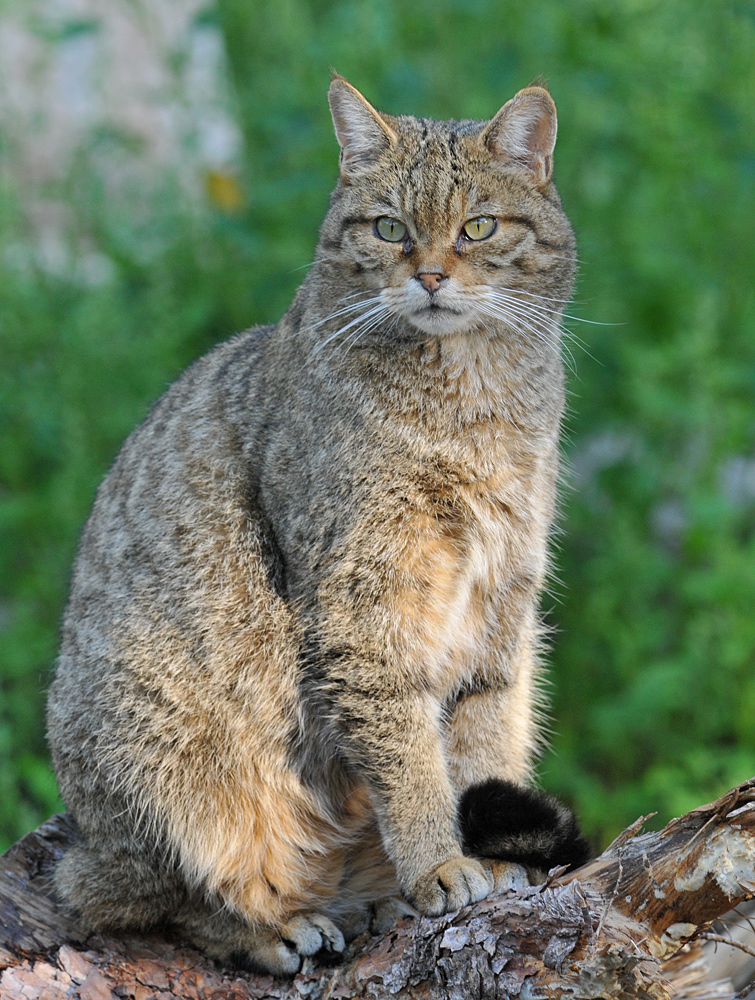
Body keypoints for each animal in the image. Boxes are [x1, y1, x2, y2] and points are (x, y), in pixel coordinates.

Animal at [45, 72, 592, 976]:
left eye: (477, 227)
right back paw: (273, 926)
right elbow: (407, 755)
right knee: (140, 898)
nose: (431, 275)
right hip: (151, 754)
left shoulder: (502, 604)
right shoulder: (362, 604)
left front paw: (479, 855)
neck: (470, 402)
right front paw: (438, 863)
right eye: (389, 228)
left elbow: (476, 749)